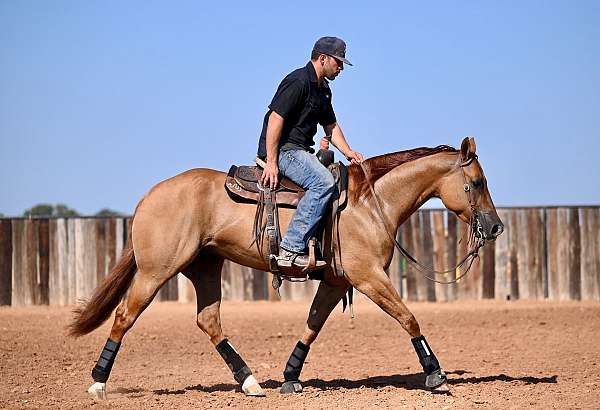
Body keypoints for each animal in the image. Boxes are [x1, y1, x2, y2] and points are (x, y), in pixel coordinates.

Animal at [68, 136, 504, 398]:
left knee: (209, 320)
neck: (370, 203)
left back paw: (250, 381)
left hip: (205, 267)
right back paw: (98, 384)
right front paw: (436, 374)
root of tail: (148, 196)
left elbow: (312, 325)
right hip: (156, 271)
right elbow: (409, 317)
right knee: (125, 316)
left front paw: (291, 376)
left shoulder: (335, 281)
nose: (496, 226)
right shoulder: (368, 277)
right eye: (479, 182)